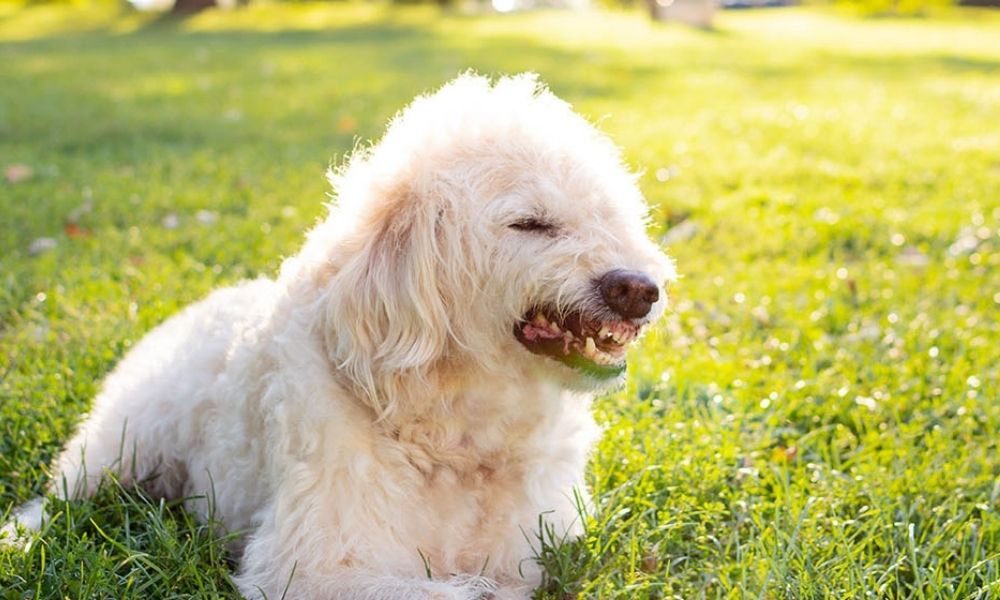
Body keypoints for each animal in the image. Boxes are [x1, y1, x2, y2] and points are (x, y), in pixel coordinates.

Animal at [3, 75, 676, 600]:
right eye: (530, 223)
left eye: (609, 215)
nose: (641, 290)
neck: (453, 437)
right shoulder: (311, 566)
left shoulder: (538, 546)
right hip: (121, 443)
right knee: (58, 501)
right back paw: (21, 538)